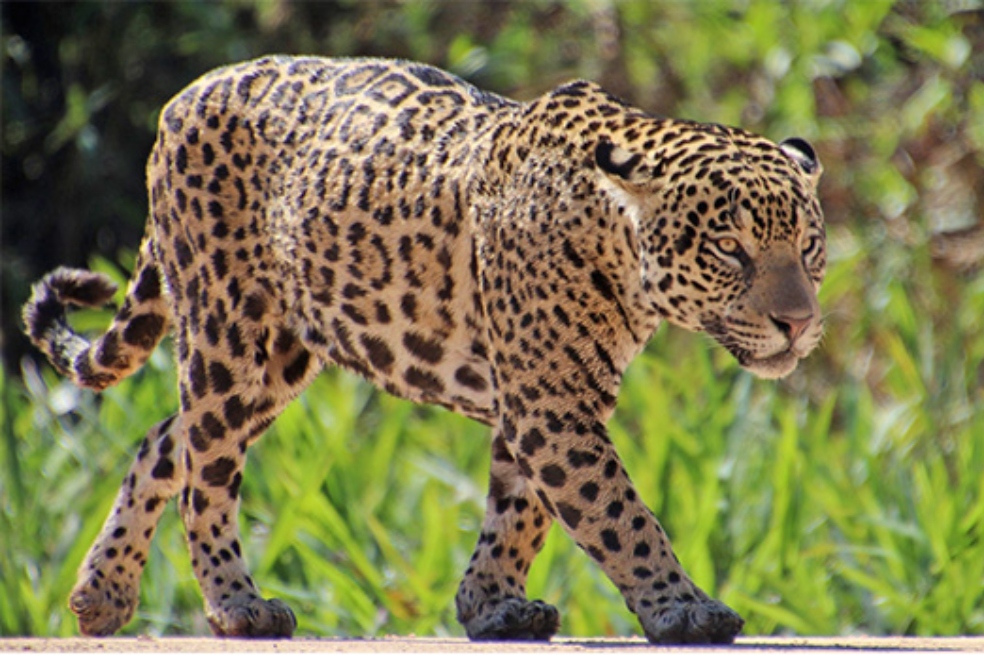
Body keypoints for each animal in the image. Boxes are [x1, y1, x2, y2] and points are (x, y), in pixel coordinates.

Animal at [23, 55, 825, 644]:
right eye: (730, 249)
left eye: (808, 246)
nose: (798, 323)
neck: (618, 246)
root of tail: (184, 98)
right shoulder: (552, 406)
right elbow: (620, 514)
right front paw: (683, 607)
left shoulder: (538, 401)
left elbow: (518, 510)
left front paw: (491, 604)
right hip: (229, 331)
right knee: (206, 473)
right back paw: (236, 605)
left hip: (274, 358)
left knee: (167, 439)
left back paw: (102, 592)